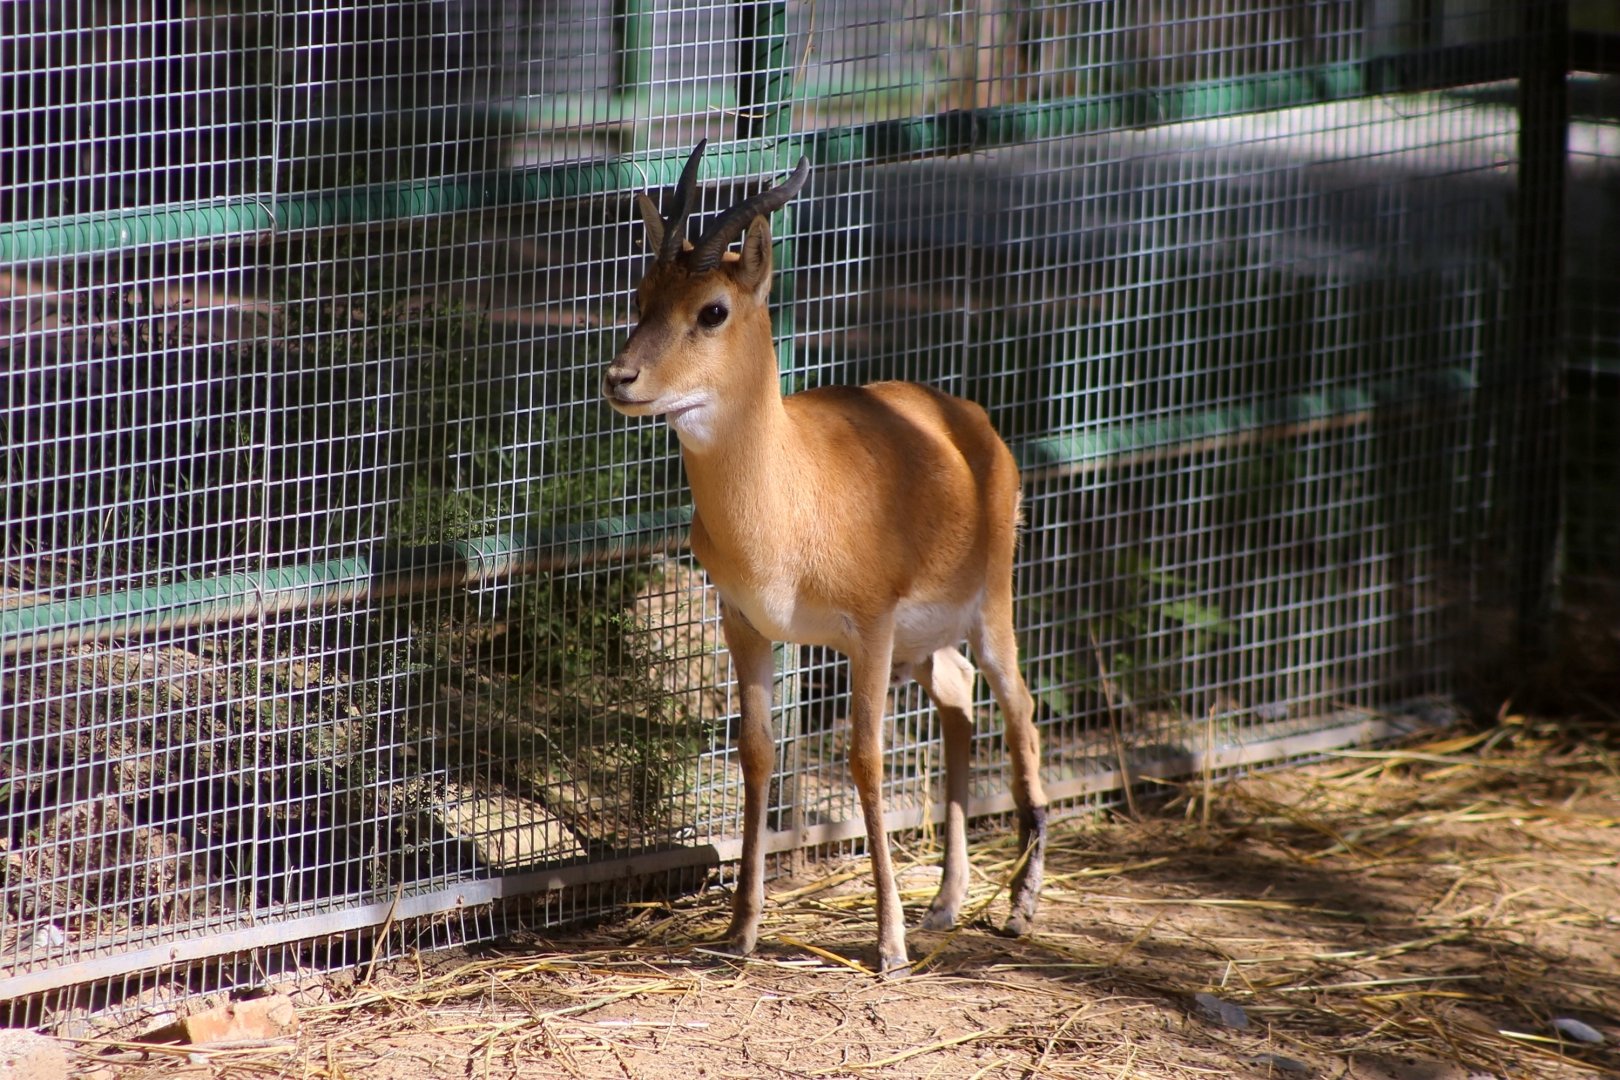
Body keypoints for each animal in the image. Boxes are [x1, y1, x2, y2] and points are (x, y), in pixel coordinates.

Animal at [603, 141, 1048, 975]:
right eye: (641, 292)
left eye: (713, 309)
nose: (621, 379)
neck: (784, 507)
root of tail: (972, 419)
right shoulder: (746, 622)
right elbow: (756, 754)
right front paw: (740, 931)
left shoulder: (867, 629)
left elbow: (865, 760)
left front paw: (888, 945)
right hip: (926, 644)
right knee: (960, 700)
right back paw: (946, 903)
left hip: (989, 607)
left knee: (1020, 707)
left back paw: (1017, 908)